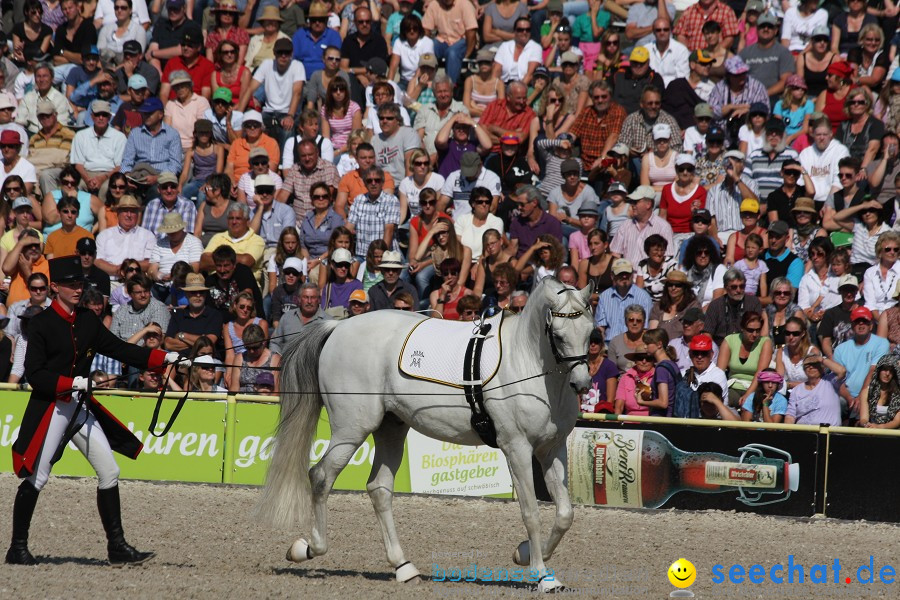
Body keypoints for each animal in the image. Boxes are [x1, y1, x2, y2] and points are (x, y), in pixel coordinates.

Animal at [256, 278, 596, 592]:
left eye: (591, 332)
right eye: (558, 335)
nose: (581, 383)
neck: (527, 364)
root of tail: (337, 327)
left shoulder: (551, 450)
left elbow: (565, 514)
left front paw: (523, 554)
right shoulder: (517, 449)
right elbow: (531, 513)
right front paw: (542, 575)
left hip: (390, 428)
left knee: (379, 488)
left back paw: (403, 566)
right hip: (351, 430)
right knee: (321, 476)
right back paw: (308, 548)